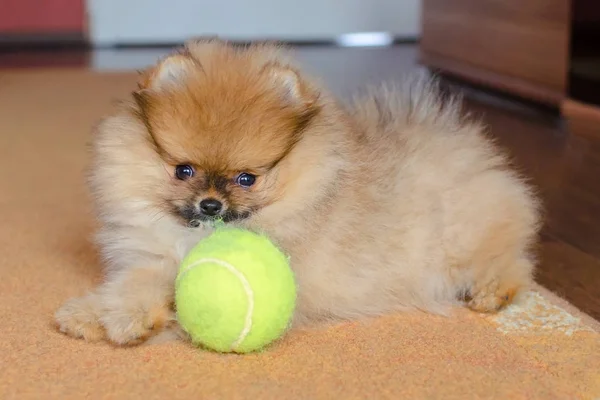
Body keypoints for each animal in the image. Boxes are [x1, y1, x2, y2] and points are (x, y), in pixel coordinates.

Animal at [56, 40, 540, 346]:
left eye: (247, 179)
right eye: (183, 170)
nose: (210, 204)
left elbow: (172, 294)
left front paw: (125, 321)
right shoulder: (151, 257)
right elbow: (133, 283)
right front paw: (90, 314)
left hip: (463, 238)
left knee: (514, 261)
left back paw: (493, 292)